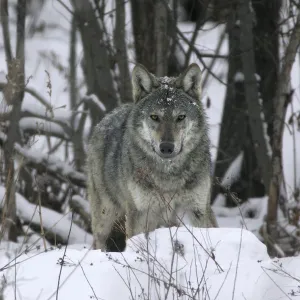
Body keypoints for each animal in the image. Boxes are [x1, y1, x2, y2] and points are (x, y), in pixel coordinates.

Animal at [86, 63, 218, 251]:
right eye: (155, 117)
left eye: (180, 117)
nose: (167, 147)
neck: (169, 175)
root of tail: (105, 119)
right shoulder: (140, 212)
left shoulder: (198, 209)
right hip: (106, 215)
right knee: (98, 241)